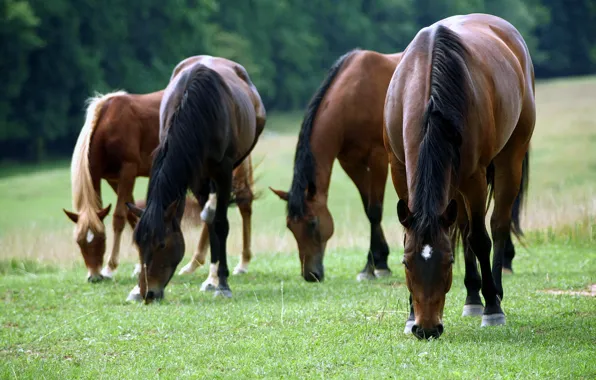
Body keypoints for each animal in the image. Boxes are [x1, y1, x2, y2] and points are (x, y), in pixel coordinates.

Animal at [63, 90, 256, 284]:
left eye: (102, 238)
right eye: (79, 241)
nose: (94, 276)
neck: (108, 124)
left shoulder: (128, 170)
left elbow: (119, 217)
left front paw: (110, 268)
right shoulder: (113, 179)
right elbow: (133, 216)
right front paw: (140, 264)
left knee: (242, 202)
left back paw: (241, 263)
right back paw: (195, 263)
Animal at [125, 55, 266, 302]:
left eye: (162, 245)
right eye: (138, 245)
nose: (148, 293)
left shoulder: (223, 171)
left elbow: (220, 224)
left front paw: (223, 283)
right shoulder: (194, 173)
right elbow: (209, 223)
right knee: (208, 217)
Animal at [272, 49, 402, 282]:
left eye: (313, 223)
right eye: (289, 226)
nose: (310, 275)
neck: (354, 97)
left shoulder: (377, 158)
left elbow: (375, 210)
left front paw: (374, 267)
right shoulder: (351, 163)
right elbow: (368, 209)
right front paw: (377, 262)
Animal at [384, 12, 536, 338]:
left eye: (448, 261)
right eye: (406, 262)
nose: (427, 329)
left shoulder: (475, 177)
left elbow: (480, 239)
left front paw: (492, 309)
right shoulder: (399, 170)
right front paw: (410, 314)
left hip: (509, 159)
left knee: (497, 224)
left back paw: (493, 294)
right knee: (464, 226)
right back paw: (472, 297)